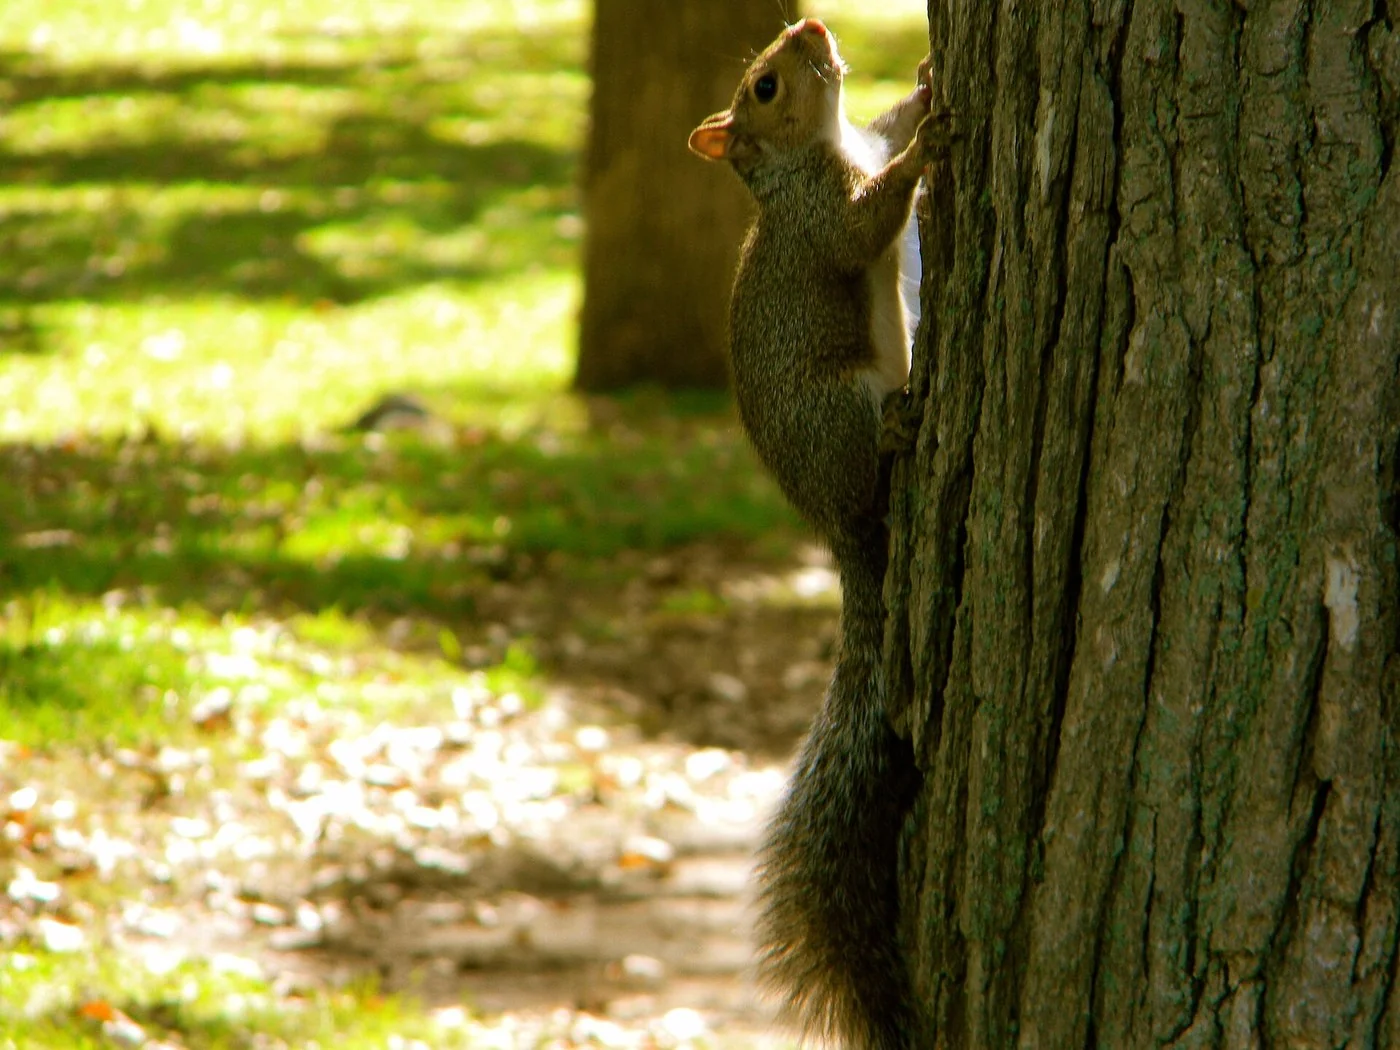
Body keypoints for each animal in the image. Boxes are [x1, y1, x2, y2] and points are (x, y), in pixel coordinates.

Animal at [688, 18, 953, 1050]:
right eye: (764, 86)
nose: (812, 26)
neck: (821, 149)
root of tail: (836, 536)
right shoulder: (822, 217)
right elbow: (864, 228)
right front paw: (928, 154)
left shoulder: (861, 141)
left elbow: (890, 126)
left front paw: (927, 82)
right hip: (839, 408)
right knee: (868, 470)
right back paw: (898, 433)